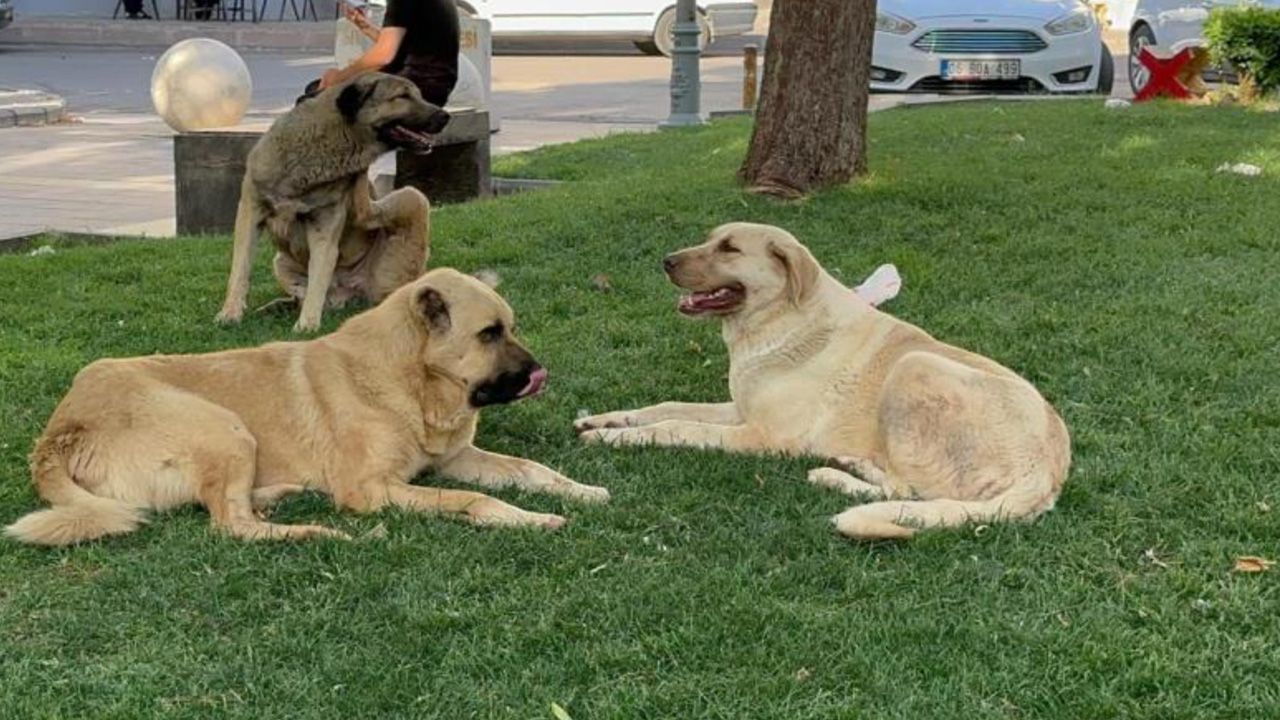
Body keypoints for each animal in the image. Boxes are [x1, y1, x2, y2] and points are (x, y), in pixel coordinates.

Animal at [7, 269, 609, 546]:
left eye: (511, 327)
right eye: (489, 334)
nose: (541, 374)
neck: (407, 380)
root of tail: (59, 431)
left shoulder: (454, 458)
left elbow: (531, 469)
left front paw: (581, 490)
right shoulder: (372, 489)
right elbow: (472, 500)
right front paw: (528, 519)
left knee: (228, 507)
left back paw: (277, 497)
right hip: (223, 426)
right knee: (230, 526)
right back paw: (319, 532)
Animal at [216, 73, 451, 333]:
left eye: (418, 94)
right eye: (402, 96)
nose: (445, 116)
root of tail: (345, 294)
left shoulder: (324, 227)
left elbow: (318, 278)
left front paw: (306, 325)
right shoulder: (250, 211)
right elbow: (240, 270)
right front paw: (230, 313)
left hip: (411, 198)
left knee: (366, 213)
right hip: (280, 261)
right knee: (301, 295)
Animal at [575, 223, 1070, 540]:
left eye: (729, 248)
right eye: (712, 240)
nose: (666, 261)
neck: (779, 319)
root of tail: (1046, 474)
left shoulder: (762, 436)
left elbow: (677, 426)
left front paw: (613, 439)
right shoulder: (739, 409)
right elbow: (665, 406)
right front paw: (603, 420)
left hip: (915, 365)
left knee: (905, 490)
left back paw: (835, 475)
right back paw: (851, 463)